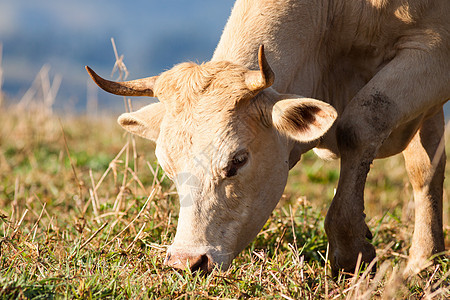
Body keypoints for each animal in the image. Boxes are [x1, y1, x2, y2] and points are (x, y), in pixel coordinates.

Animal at [86, 0, 448, 276]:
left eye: (237, 160)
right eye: (167, 167)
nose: (187, 261)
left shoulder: (432, 53)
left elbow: (361, 123)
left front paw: (353, 253)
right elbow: (426, 168)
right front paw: (426, 260)